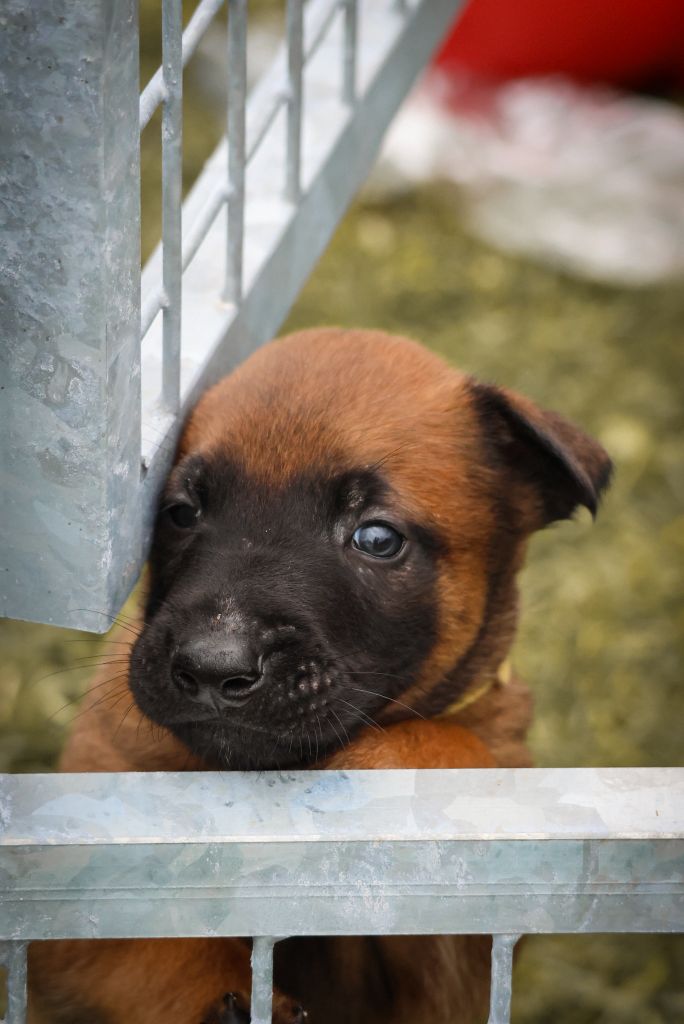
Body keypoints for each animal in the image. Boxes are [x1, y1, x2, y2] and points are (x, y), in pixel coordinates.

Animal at [29, 329, 610, 1024]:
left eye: (377, 538)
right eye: (180, 513)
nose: (212, 667)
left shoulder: (465, 951)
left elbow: (457, 754)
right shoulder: (82, 887)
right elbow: (161, 947)